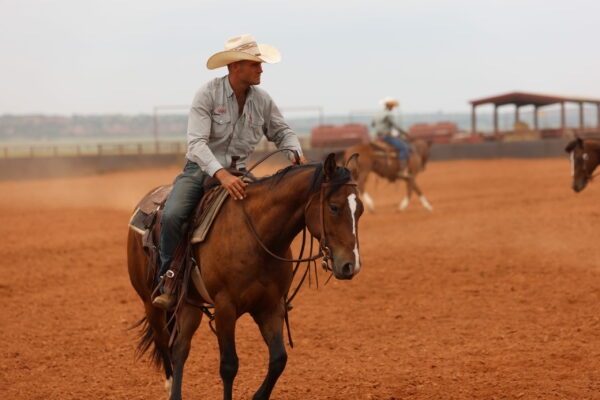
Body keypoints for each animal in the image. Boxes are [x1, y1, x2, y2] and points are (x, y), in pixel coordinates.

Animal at [127, 155, 360, 400]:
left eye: (360, 210)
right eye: (334, 207)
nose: (350, 266)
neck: (257, 236)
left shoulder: (270, 306)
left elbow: (279, 359)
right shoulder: (225, 307)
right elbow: (229, 366)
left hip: (189, 303)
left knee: (180, 347)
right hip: (150, 302)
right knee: (164, 341)